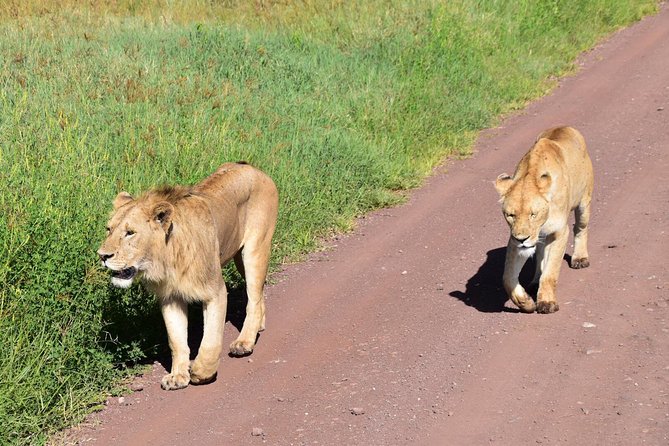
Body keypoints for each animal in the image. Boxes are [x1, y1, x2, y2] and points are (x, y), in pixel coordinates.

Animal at [96, 162, 276, 388]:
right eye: (108, 229)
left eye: (130, 233)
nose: (102, 255)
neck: (167, 260)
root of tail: (253, 168)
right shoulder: (170, 297)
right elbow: (177, 340)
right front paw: (178, 377)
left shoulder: (215, 291)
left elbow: (211, 339)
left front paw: (201, 372)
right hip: (239, 257)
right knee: (258, 294)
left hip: (254, 250)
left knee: (253, 297)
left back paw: (243, 343)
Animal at [494, 125, 592, 314]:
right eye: (511, 215)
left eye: (533, 214)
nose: (522, 239)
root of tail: (565, 126)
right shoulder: (513, 238)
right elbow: (507, 277)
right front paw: (525, 302)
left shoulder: (560, 232)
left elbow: (550, 272)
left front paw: (547, 302)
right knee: (540, 253)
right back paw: (534, 282)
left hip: (584, 202)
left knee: (580, 228)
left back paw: (580, 258)